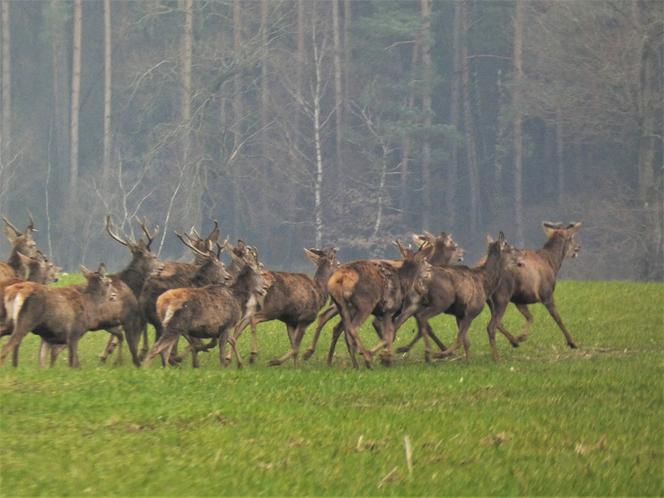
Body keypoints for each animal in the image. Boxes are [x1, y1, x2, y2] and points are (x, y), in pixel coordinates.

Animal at [143, 235, 264, 368]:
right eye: (259, 274)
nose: (264, 289)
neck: (237, 298)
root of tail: (161, 301)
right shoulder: (226, 325)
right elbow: (222, 352)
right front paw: (228, 365)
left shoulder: (217, 330)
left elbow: (230, 341)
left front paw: (239, 364)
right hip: (176, 325)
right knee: (158, 348)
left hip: (166, 325)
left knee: (164, 349)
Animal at [392, 230, 520, 362]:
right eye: (510, 247)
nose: (520, 260)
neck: (486, 282)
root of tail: (421, 278)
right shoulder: (471, 311)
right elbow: (460, 339)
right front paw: (442, 354)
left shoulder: (460, 314)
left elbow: (466, 341)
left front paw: (467, 360)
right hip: (440, 302)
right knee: (422, 318)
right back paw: (426, 352)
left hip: (413, 303)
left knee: (399, 324)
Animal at [488, 222, 580, 354]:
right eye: (571, 237)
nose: (578, 247)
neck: (553, 263)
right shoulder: (547, 294)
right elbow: (558, 318)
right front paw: (572, 342)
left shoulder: (519, 299)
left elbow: (530, 317)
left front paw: (520, 337)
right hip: (502, 297)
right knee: (493, 324)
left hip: (492, 301)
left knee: (498, 323)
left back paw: (513, 342)